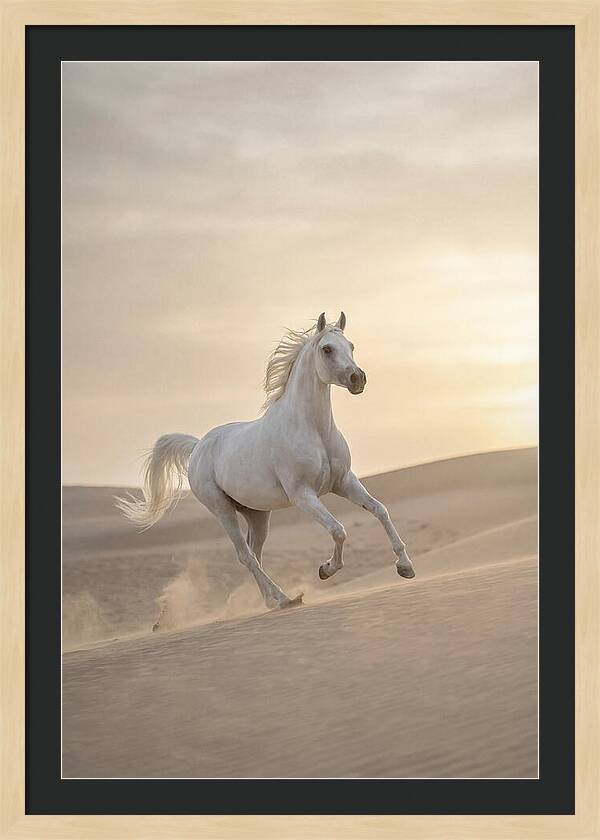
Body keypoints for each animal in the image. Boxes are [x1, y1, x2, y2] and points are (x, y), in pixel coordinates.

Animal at [116, 311, 415, 618]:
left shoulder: (344, 482)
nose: (358, 379)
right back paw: (284, 599)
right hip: (221, 509)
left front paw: (405, 567)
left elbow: (380, 510)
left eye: (351, 346)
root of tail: (198, 446)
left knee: (255, 554)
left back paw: (271, 600)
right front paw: (326, 569)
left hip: (257, 515)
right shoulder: (303, 495)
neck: (313, 429)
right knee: (245, 555)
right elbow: (338, 530)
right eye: (327, 349)